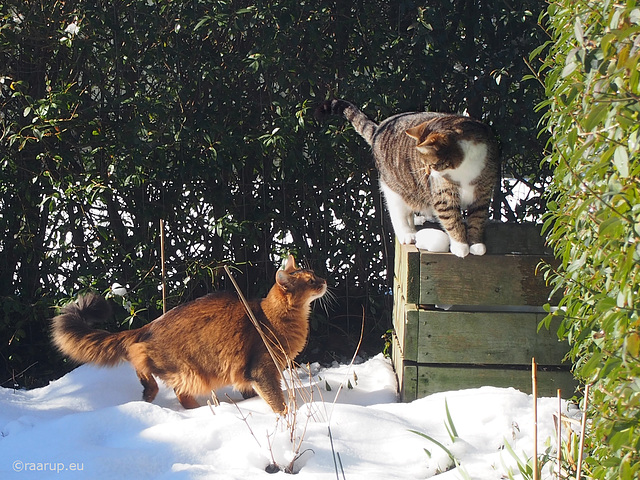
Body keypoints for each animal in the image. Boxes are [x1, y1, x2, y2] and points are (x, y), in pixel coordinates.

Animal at [52, 255, 328, 412]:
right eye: (310, 281)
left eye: (315, 274)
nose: (324, 281)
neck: (271, 316)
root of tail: (149, 326)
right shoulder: (262, 370)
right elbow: (277, 401)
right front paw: (285, 416)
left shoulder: (248, 375)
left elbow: (252, 392)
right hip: (189, 370)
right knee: (141, 359)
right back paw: (161, 396)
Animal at [318, 100, 498, 258]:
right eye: (425, 163)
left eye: (431, 164)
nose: (427, 173)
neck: (463, 168)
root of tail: (379, 128)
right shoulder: (443, 193)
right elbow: (451, 218)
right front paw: (460, 246)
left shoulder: (483, 192)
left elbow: (478, 217)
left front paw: (476, 244)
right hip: (393, 187)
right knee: (397, 211)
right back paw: (406, 233)